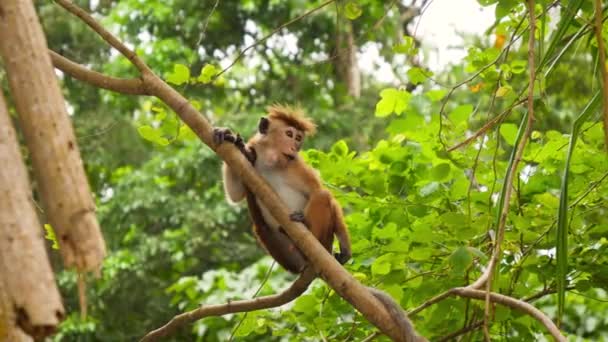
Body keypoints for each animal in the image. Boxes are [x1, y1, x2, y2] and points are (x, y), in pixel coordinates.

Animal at [215, 105, 428, 342]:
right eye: (289, 134)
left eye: (298, 138)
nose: (293, 146)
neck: (271, 163)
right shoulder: (250, 166)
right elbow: (236, 195)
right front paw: (231, 138)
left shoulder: (296, 164)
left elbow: (321, 193)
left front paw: (345, 249)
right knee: (260, 226)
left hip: (323, 240)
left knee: (322, 198)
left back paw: (309, 232)